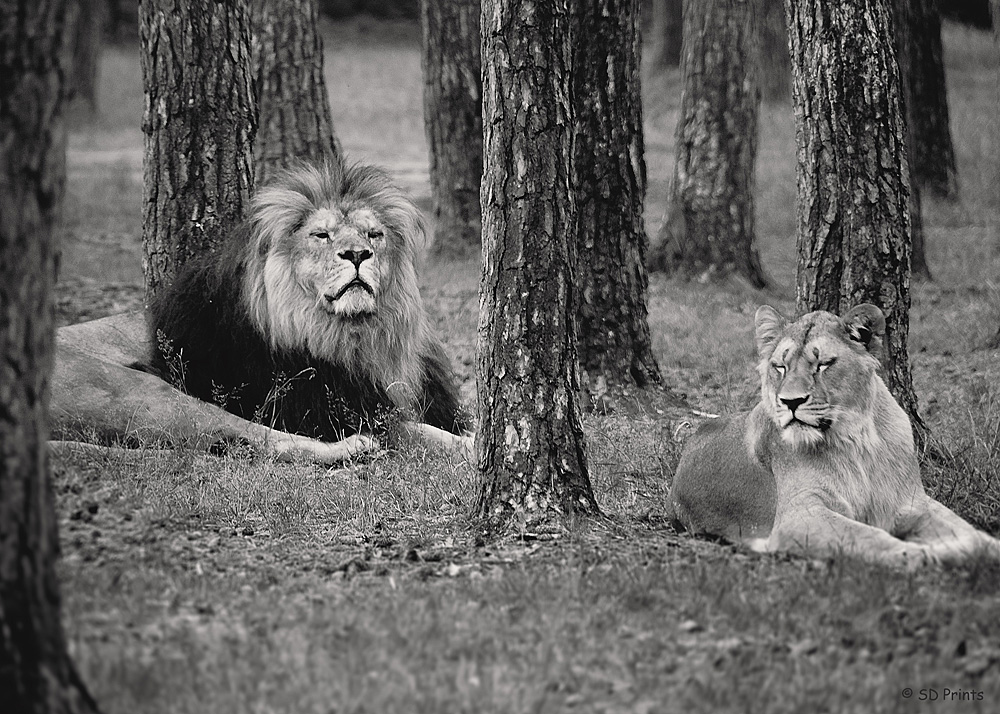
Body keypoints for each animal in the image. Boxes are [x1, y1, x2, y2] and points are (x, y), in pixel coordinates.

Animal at [52, 161, 474, 462]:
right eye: (321, 235)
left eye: (374, 235)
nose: (357, 254)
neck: (362, 336)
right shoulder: (328, 407)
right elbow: (420, 432)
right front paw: (473, 446)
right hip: (139, 391)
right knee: (262, 438)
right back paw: (354, 447)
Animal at [668, 302, 1000, 568]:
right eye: (780, 366)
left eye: (824, 364)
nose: (790, 402)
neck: (857, 440)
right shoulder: (800, 515)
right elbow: (871, 537)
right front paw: (930, 555)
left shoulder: (911, 502)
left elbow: (968, 532)